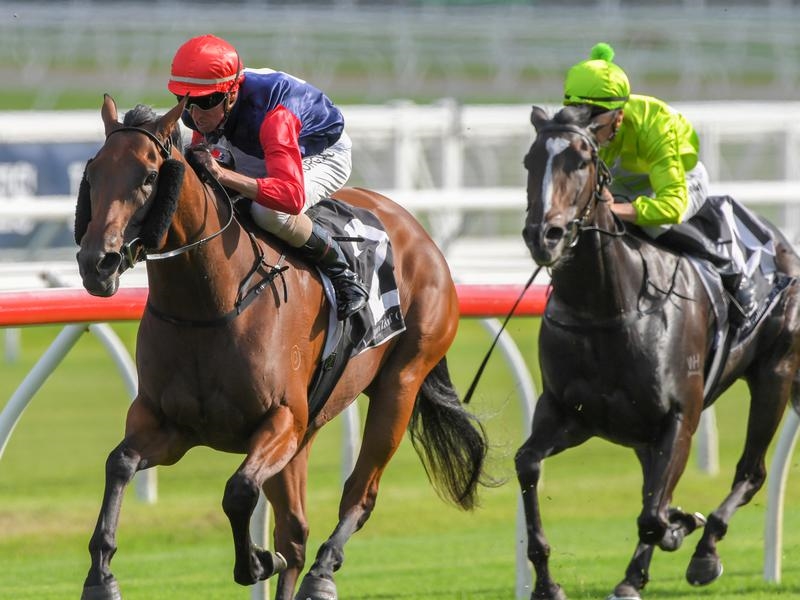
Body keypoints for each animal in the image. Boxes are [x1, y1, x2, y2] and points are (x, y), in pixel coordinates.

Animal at [74, 94, 490, 600]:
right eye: (93, 174)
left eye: (149, 177)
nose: (97, 262)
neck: (210, 304)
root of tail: (418, 230)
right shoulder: (170, 425)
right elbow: (119, 463)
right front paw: (101, 575)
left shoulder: (281, 420)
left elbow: (239, 492)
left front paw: (256, 561)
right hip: (310, 427)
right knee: (295, 531)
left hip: (400, 384)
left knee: (359, 495)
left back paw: (322, 575)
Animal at [517, 104, 800, 600]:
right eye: (530, 161)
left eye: (581, 161)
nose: (543, 236)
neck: (607, 305)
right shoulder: (570, 415)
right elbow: (527, 464)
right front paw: (547, 583)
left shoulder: (679, 416)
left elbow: (652, 513)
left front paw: (667, 542)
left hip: (775, 374)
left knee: (751, 472)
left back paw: (704, 551)